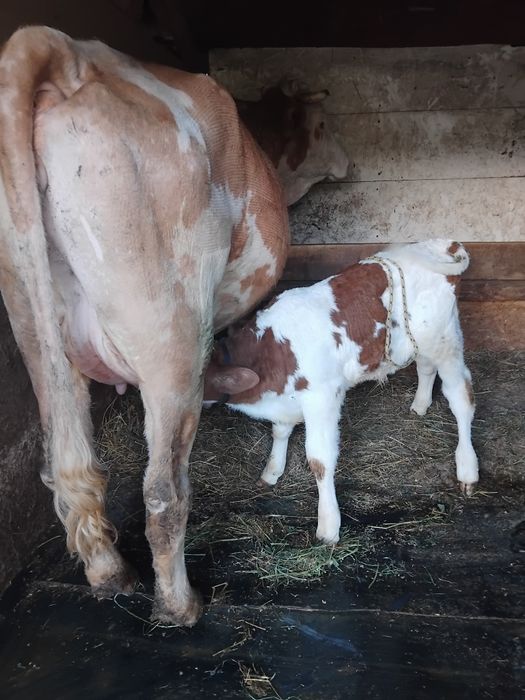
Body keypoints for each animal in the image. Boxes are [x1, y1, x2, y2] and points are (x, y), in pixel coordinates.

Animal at [0, 25, 298, 626]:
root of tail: (66, 52)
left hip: (29, 315)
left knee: (68, 462)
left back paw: (109, 574)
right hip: (170, 326)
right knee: (163, 491)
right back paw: (181, 605)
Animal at [204, 240, 480, 545]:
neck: (270, 350)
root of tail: (440, 244)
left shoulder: (322, 399)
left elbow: (319, 460)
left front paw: (328, 526)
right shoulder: (287, 400)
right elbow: (280, 431)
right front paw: (272, 470)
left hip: (447, 342)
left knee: (462, 397)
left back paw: (467, 468)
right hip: (422, 343)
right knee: (426, 367)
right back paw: (420, 404)